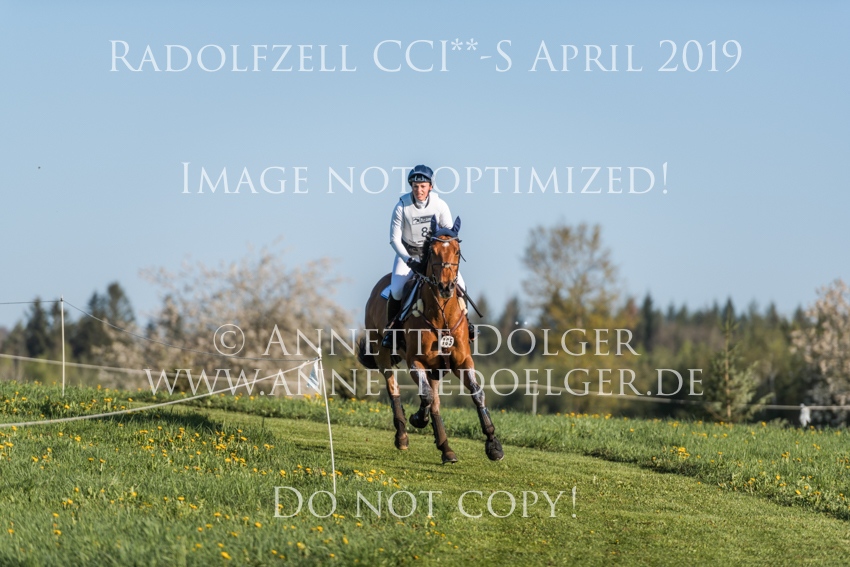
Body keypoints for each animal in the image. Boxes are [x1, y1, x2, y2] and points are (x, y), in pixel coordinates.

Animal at [357, 217, 504, 464]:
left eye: (457, 251)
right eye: (433, 251)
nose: (446, 287)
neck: (442, 313)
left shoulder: (462, 362)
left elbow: (477, 394)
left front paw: (493, 444)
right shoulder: (416, 362)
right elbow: (424, 395)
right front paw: (418, 419)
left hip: (436, 368)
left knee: (434, 403)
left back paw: (446, 449)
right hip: (383, 354)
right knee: (394, 389)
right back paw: (403, 436)